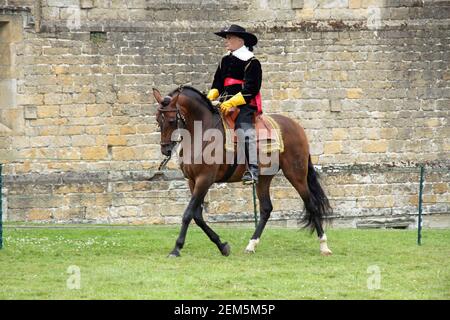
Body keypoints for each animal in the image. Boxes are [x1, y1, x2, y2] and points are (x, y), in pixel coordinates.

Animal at [153, 85, 332, 258]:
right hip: (264, 177)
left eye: (171, 120)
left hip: (296, 174)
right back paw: (251, 245)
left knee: (312, 205)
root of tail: (297, 127)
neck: (202, 131)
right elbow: (197, 216)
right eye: (157, 120)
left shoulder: (205, 179)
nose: (165, 149)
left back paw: (324, 245)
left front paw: (176, 248)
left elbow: (188, 214)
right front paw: (222, 245)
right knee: (266, 209)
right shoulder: (193, 181)